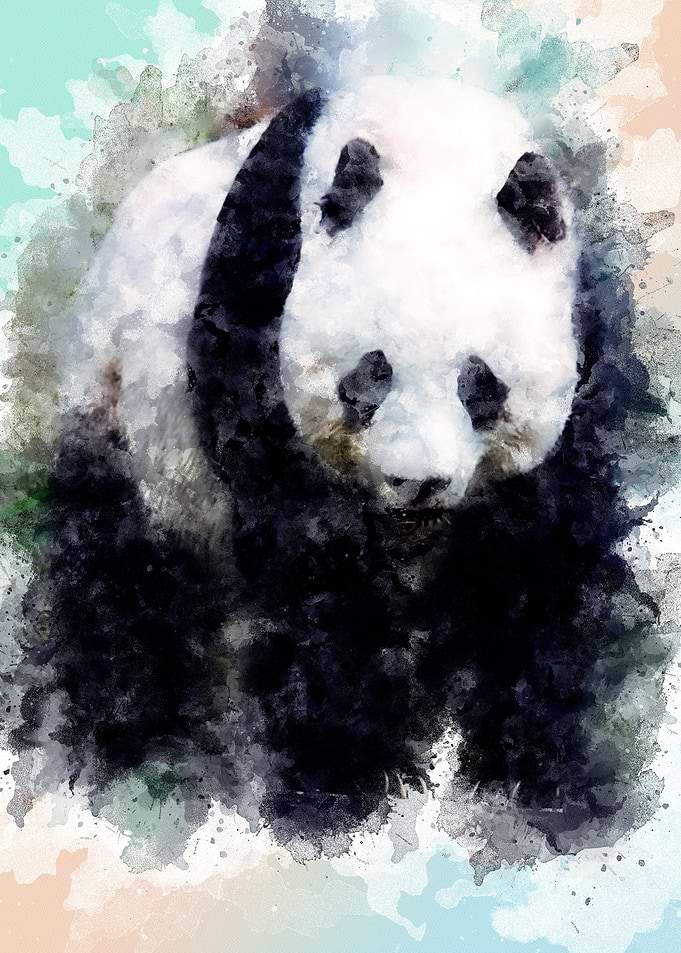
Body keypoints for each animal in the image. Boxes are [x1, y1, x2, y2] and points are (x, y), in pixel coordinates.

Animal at [15, 76, 658, 846]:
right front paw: (335, 790)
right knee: (122, 581)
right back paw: (134, 752)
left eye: (479, 383)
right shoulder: (253, 333)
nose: (417, 483)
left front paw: (548, 785)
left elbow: (538, 573)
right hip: (119, 412)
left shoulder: (579, 359)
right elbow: (320, 582)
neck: (431, 139)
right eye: (370, 376)